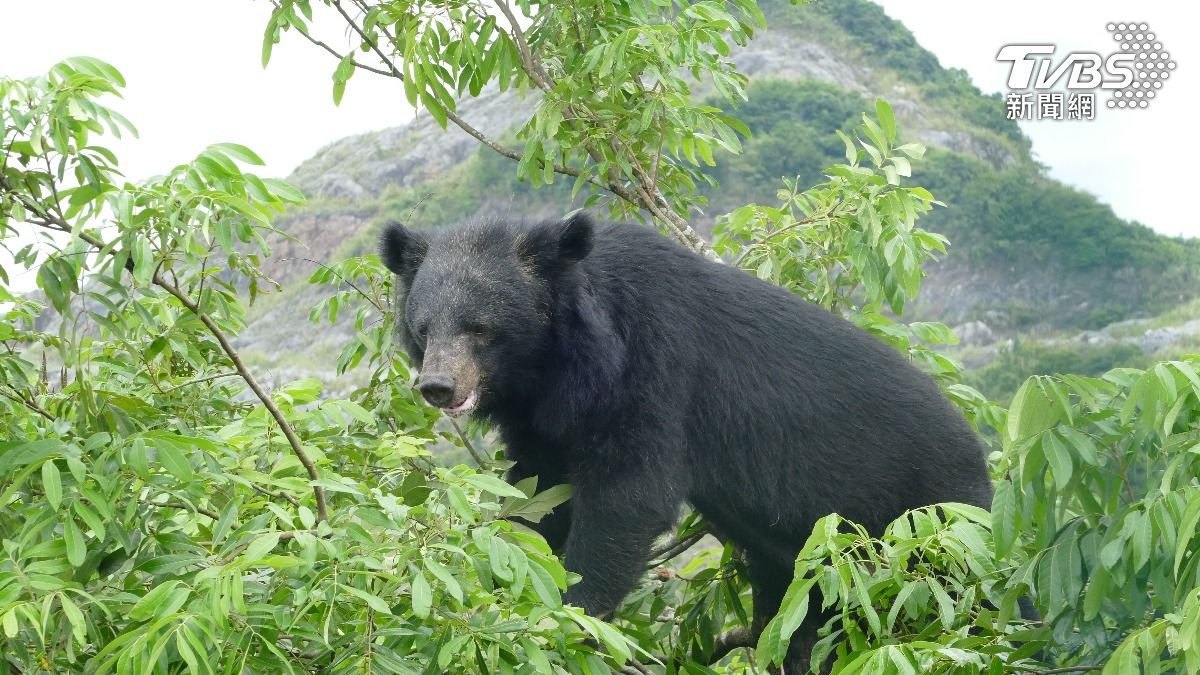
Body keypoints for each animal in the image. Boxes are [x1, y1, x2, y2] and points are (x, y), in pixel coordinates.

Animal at [380, 212, 994, 671]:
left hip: (934, 521)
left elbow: (628, 498)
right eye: (425, 329)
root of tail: (979, 457)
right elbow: (538, 495)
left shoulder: (654, 372)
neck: (558, 363)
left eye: (482, 329)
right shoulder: (543, 422)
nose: (438, 386)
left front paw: (574, 618)